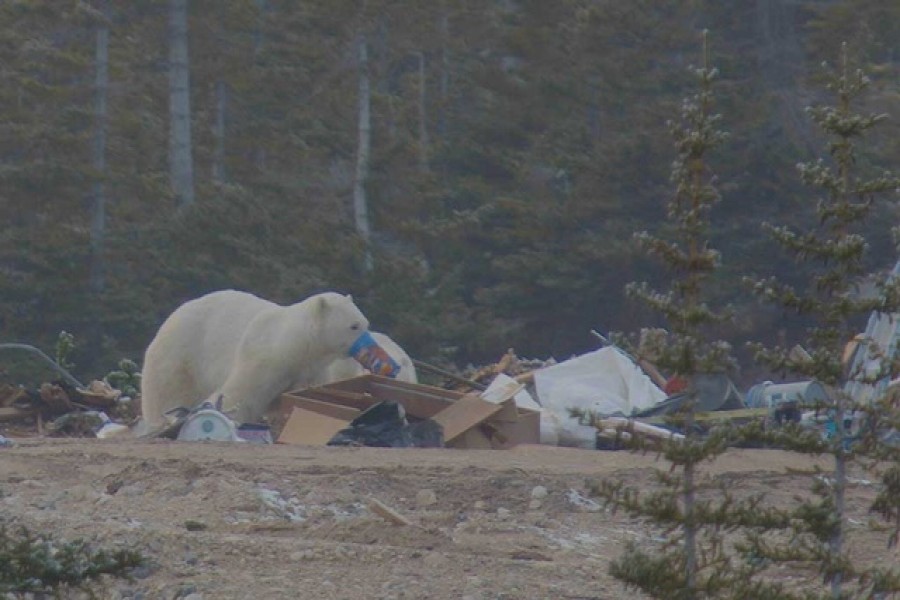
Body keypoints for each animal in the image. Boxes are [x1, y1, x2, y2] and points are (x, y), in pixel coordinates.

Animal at [138, 290, 370, 426]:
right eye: (354, 326)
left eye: (365, 322)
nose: (368, 345)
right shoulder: (263, 357)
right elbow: (241, 394)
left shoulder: (311, 369)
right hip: (181, 355)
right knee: (168, 392)